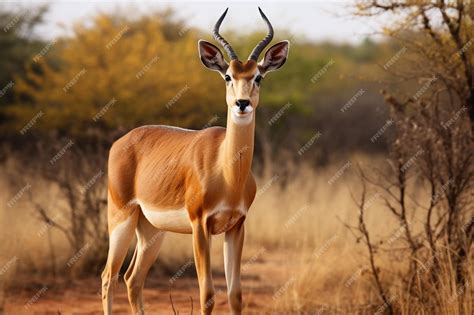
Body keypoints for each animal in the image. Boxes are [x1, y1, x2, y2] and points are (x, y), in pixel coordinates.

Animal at [101, 7, 288, 315]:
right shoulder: (200, 225)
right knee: (108, 277)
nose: (242, 103)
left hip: (151, 229)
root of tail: (122, 141)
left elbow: (235, 294)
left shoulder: (237, 226)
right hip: (121, 218)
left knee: (132, 279)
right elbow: (207, 293)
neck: (227, 173)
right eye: (227, 76)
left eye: (258, 77)